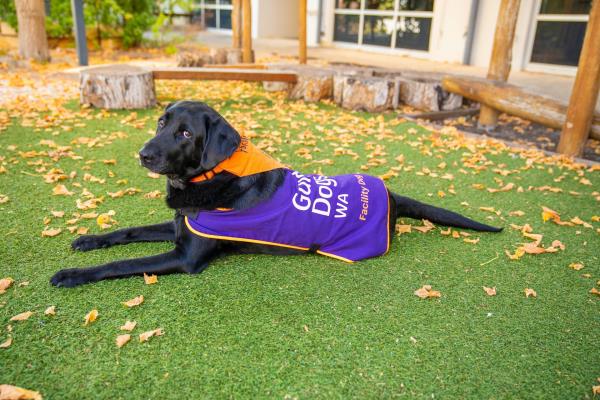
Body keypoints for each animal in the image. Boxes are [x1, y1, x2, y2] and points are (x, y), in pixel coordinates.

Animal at [50, 100, 502, 288]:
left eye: (185, 134)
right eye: (162, 122)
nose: (143, 154)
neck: (210, 177)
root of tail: (390, 195)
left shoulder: (186, 256)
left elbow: (123, 263)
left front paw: (72, 275)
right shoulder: (181, 225)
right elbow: (127, 233)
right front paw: (89, 239)